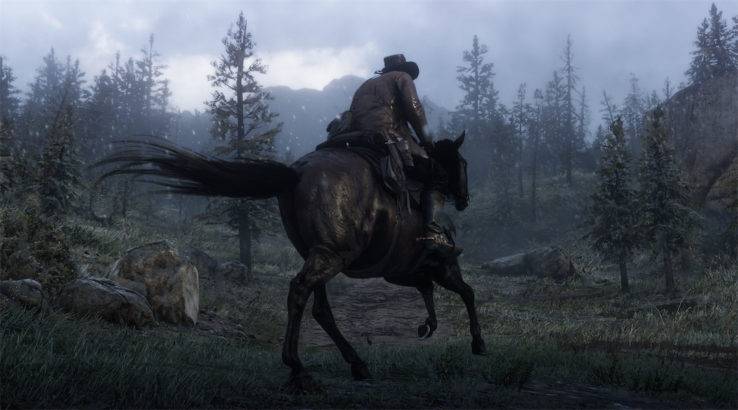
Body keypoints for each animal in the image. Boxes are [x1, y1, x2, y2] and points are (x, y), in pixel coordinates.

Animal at [98, 131, 486, 391]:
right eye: (463, 163)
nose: (465, 199)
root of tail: (296, 173)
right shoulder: (443, 266)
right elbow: (467, 292)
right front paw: (477, 344)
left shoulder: (406, 272)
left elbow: (429, 290)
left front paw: (429, 325)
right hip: (331, 255)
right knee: (299, 291)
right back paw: (299, 368)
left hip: (319, 253)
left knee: (319, 307)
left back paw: (355, 364)